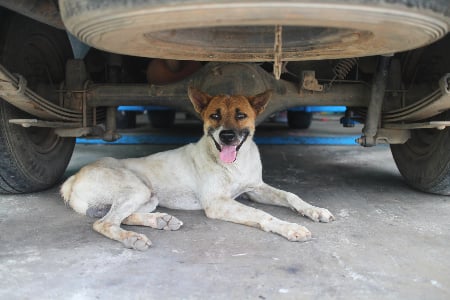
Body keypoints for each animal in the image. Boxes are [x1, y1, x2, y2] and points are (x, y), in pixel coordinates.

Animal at [60, 85, 334, 250]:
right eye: (215, 115)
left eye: (241, 115)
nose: (227, 136)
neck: (236, 164)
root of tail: (72, 180)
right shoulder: (218, 203)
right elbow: (261, 215)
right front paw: (290, 228)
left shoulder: (254, 189)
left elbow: (291, 195)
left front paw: (315, 210)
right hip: (137, 189)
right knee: (104, 223)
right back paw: (133, 238)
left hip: (149, 197)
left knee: (121, 216)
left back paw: (161, 220)